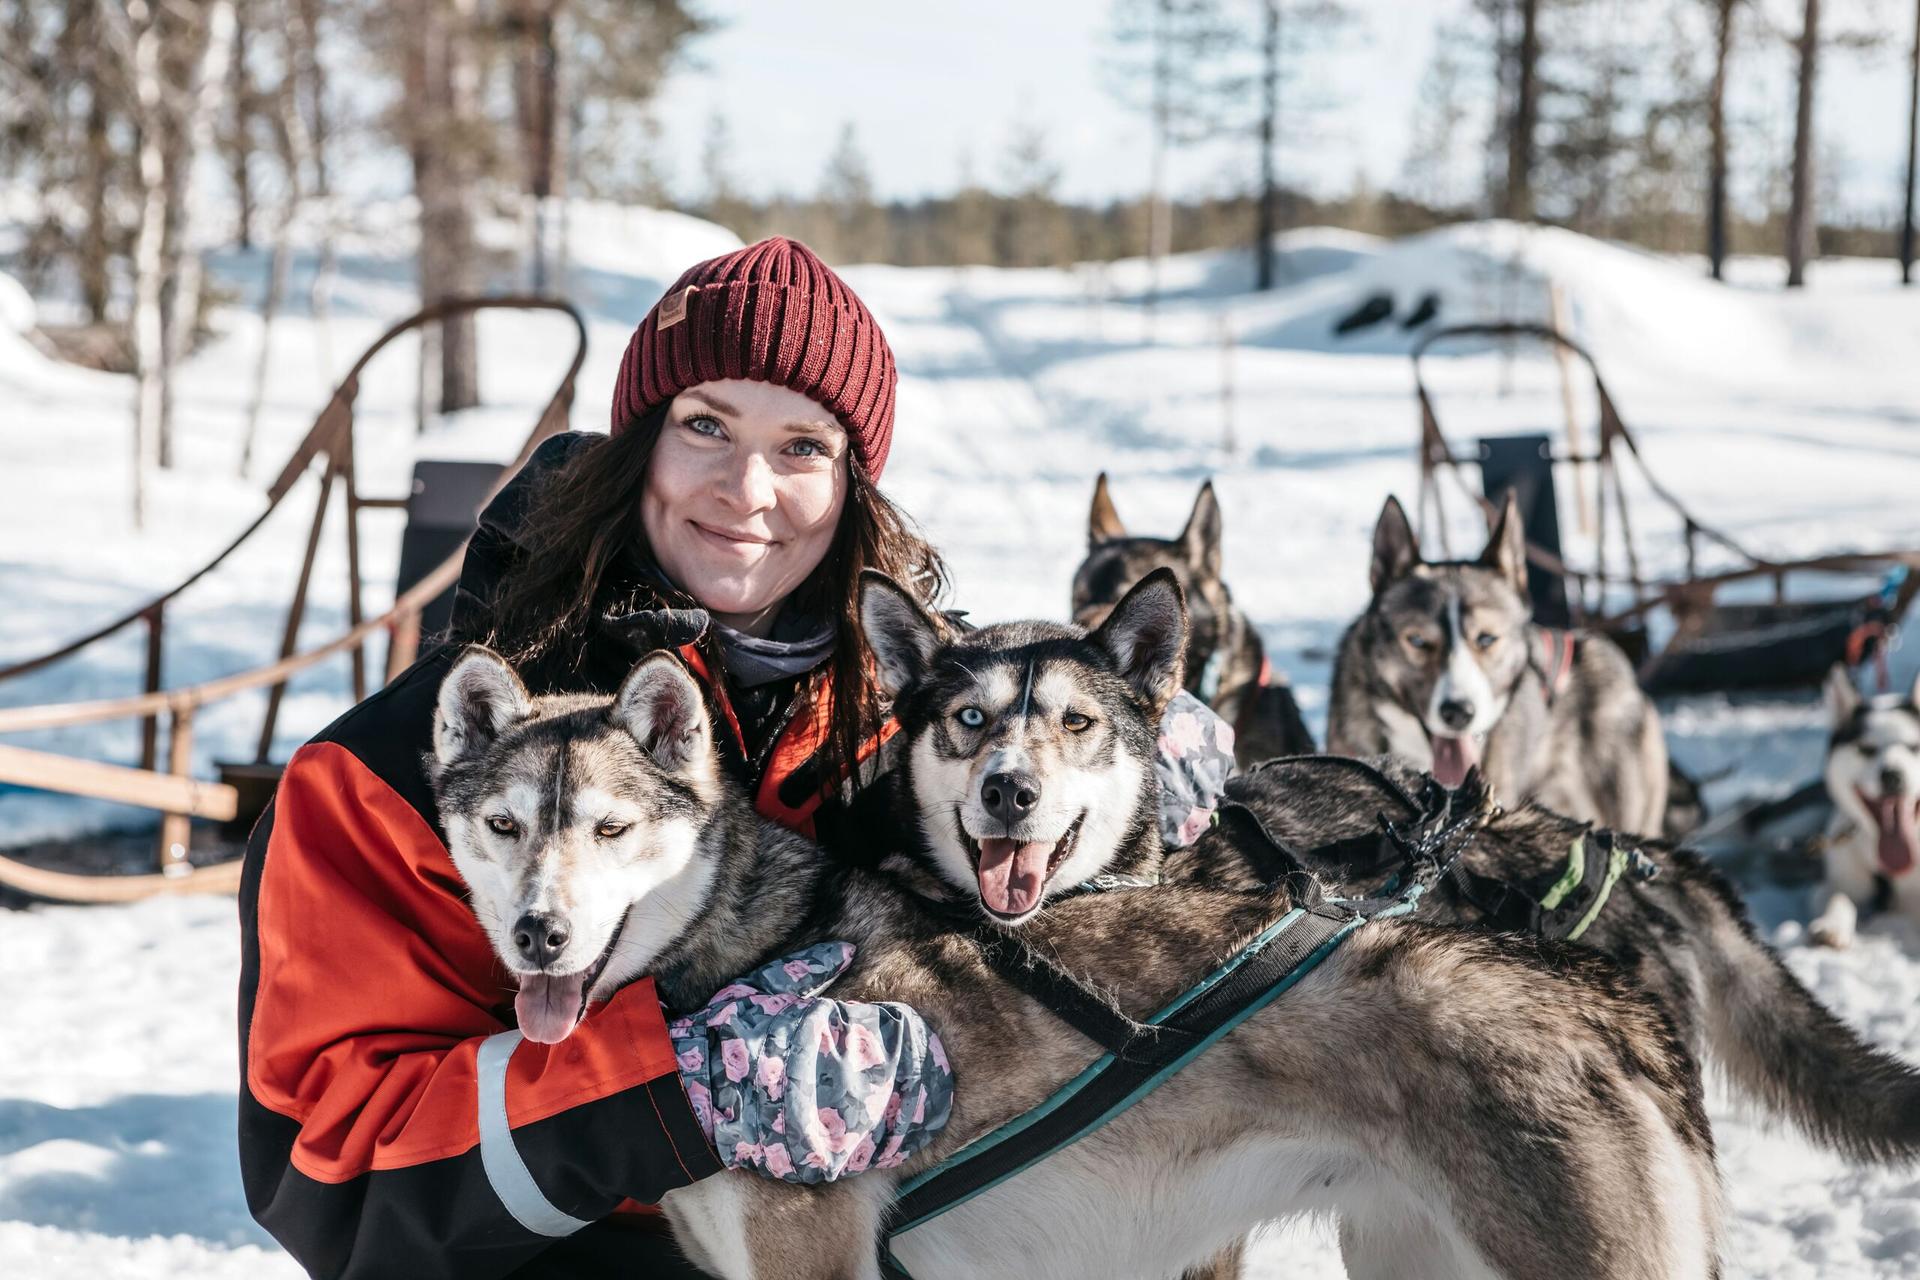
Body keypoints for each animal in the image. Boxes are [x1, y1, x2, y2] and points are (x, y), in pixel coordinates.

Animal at [1804, 667, 1920, 948]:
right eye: (1866, 749)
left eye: (1914, 747)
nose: (1892, 775)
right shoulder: (1830, 883)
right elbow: (1838, 896)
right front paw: (1832, 924)